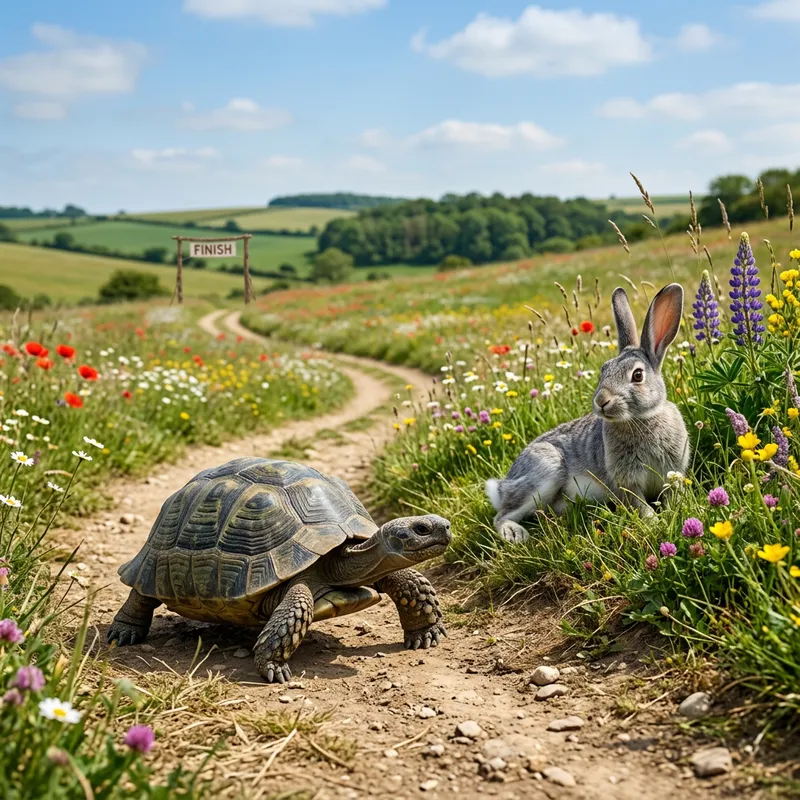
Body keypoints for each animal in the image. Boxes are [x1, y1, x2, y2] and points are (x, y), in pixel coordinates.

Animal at [485, 282, 691, 543]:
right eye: (603, 370)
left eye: (637, 375)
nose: (601, 401)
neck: (642, 419)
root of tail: (502, 487)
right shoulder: (626, 482)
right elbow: (640, 505)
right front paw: (655, 523)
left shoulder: (672, 474)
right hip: (545, 470)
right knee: (501, 515)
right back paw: (514, 533)